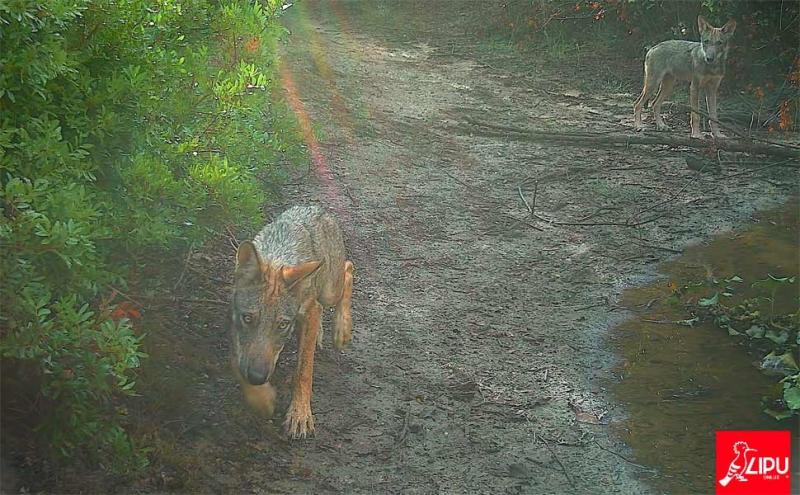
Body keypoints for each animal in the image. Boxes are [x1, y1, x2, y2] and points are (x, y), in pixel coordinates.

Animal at [230, 205, 354, 439]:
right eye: (248, 318)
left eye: (282, 325)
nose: (257, 377)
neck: (278, 255)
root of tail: (314, 207)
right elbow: (240, 363)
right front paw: (260, 399)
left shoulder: (308, 312)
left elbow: (304, 371)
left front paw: (300, 415)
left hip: (329, 291)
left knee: (349, 269)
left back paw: (342, 331)